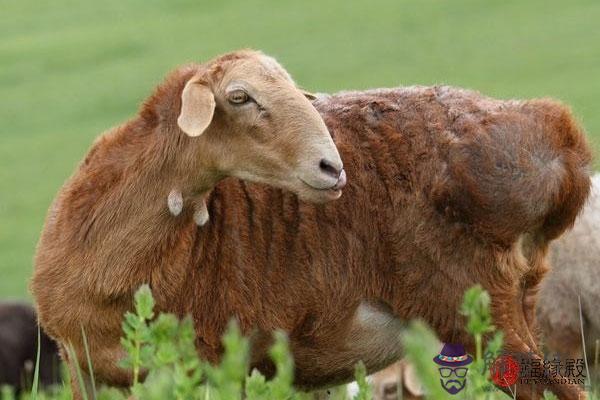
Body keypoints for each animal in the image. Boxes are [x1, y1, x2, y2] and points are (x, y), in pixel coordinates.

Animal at [31, 50, 592, 400]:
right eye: (239, 96)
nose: (332, 168)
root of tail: (554, 136)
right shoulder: (84, 366)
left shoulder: (209, 360)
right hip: (523, 301)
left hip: (482, 310)